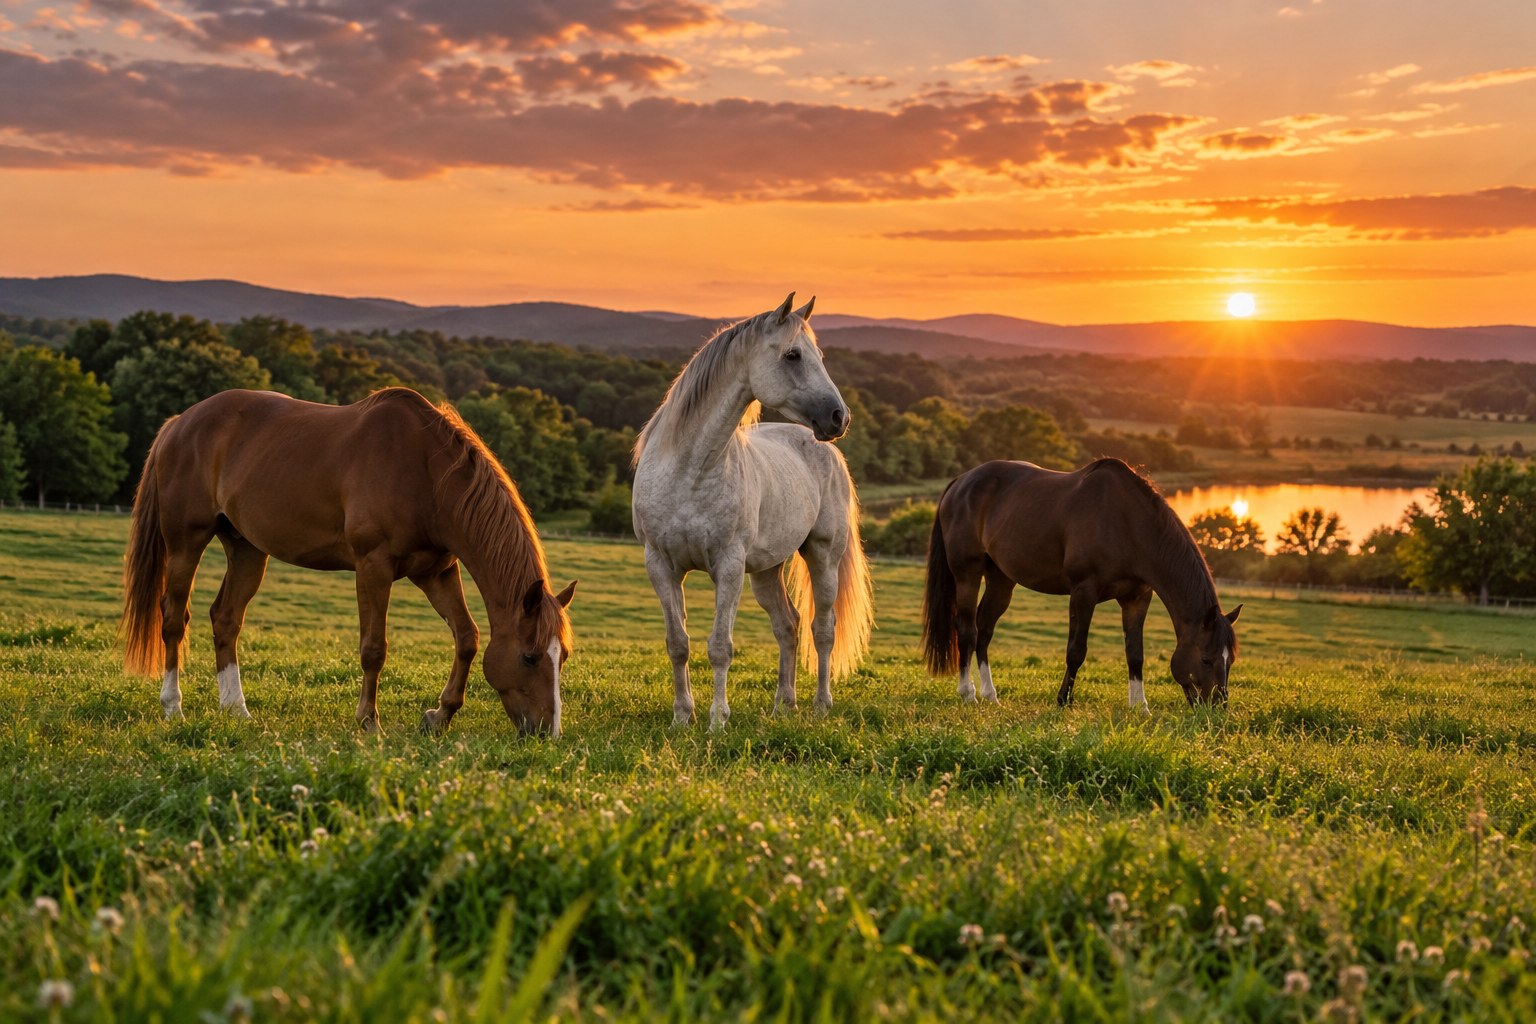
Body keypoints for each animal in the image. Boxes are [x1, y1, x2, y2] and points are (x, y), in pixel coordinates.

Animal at [120, 387, 576, 736]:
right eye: (530, 656)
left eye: (564, 657)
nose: (547, 733)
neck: (425, 473)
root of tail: (180, 422)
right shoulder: (373, 566)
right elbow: (374, 647)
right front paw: (368, 721)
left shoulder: (436, 571)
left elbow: (467, 637)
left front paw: (438, 716)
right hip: (186, 542)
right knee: (174, 618)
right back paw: (173, 707)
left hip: (247, 549)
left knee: (226, 619)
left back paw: (236, 709)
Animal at [632, 293, 874, 730]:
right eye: (793, 355)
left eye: (819, 355)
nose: (839, 417)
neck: (689, 470)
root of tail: (827, 450)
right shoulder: (660, 564)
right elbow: (678, 644)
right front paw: (682, 718)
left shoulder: (728, 566)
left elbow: (720, 646)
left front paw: (717, 721)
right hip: (765, 570)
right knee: (788, 626)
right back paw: (783, 705)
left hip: (823, 556)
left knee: (822, 629)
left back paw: (821, 704)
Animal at [921, 458, 1241, 708]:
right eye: (1206, 659)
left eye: (1231, 661)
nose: (1217, 707)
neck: (1127, 523)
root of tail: (960, 482)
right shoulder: (1083, 592)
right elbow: (1076, 650)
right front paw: (1063, 700)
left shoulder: (1137, 598)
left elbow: (1135, 654)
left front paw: (1139, 706)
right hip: (967, 572)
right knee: (967, 630)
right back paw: (968, 694)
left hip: (1001, 579)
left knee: (985, 630)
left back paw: (991, 695)